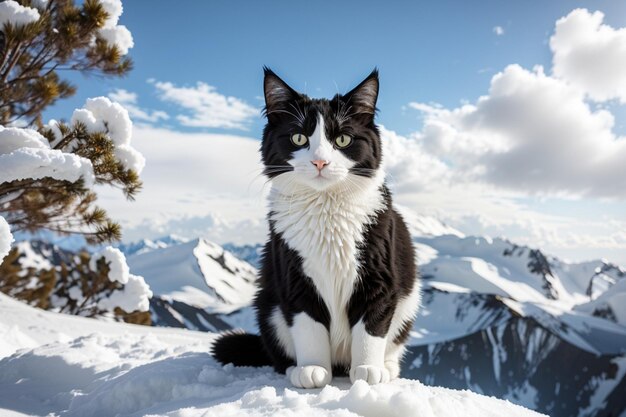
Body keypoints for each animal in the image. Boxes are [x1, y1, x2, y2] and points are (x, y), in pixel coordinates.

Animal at [210, 67, 420, 386]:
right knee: (278, 354)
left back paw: (387, 367)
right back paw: (295, 368)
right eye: (299, 138)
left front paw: (368, 369)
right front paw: (312, 369)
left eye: (343, 140)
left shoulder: (379, 275)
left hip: (408, 304)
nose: (320, 162)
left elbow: (370, 328)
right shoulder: (294, 277)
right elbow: (309, 327)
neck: (327, 211)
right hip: (267, 303)